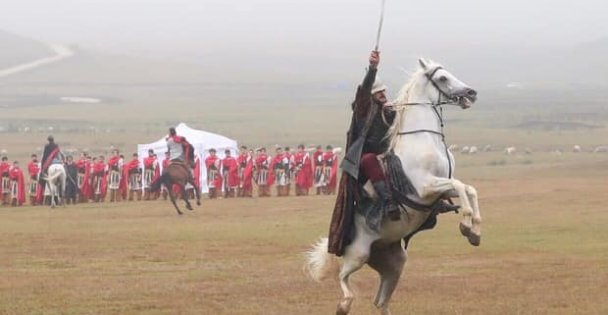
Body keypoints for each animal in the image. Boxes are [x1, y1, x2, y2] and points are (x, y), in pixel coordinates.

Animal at [306, 58, 482, 314]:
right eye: (442, 78)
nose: (471, 93)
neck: (423, 138)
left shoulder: (439, 189)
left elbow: (468, 189)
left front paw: (474, 231)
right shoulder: (425, 187)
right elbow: (460, 186)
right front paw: (466, 225)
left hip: (394, 263)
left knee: (380, 300)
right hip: (358, 255)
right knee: (342, 276)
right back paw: (344, 303)